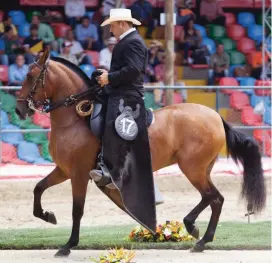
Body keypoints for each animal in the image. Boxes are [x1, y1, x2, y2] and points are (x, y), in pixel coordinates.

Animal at [14, 49, 266, 258]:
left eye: (30, 76)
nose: (18, 109)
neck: (74, 119)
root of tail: (215, 116)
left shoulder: (78, 174)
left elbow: (77, 210)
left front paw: (68, 246)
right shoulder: (63, 170)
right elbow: (38, 188)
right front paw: (47, 215)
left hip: (192, 167)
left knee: (213, 197)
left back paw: (199, 236)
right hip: (201, 168)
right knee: (212, 198)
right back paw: (197, 233)